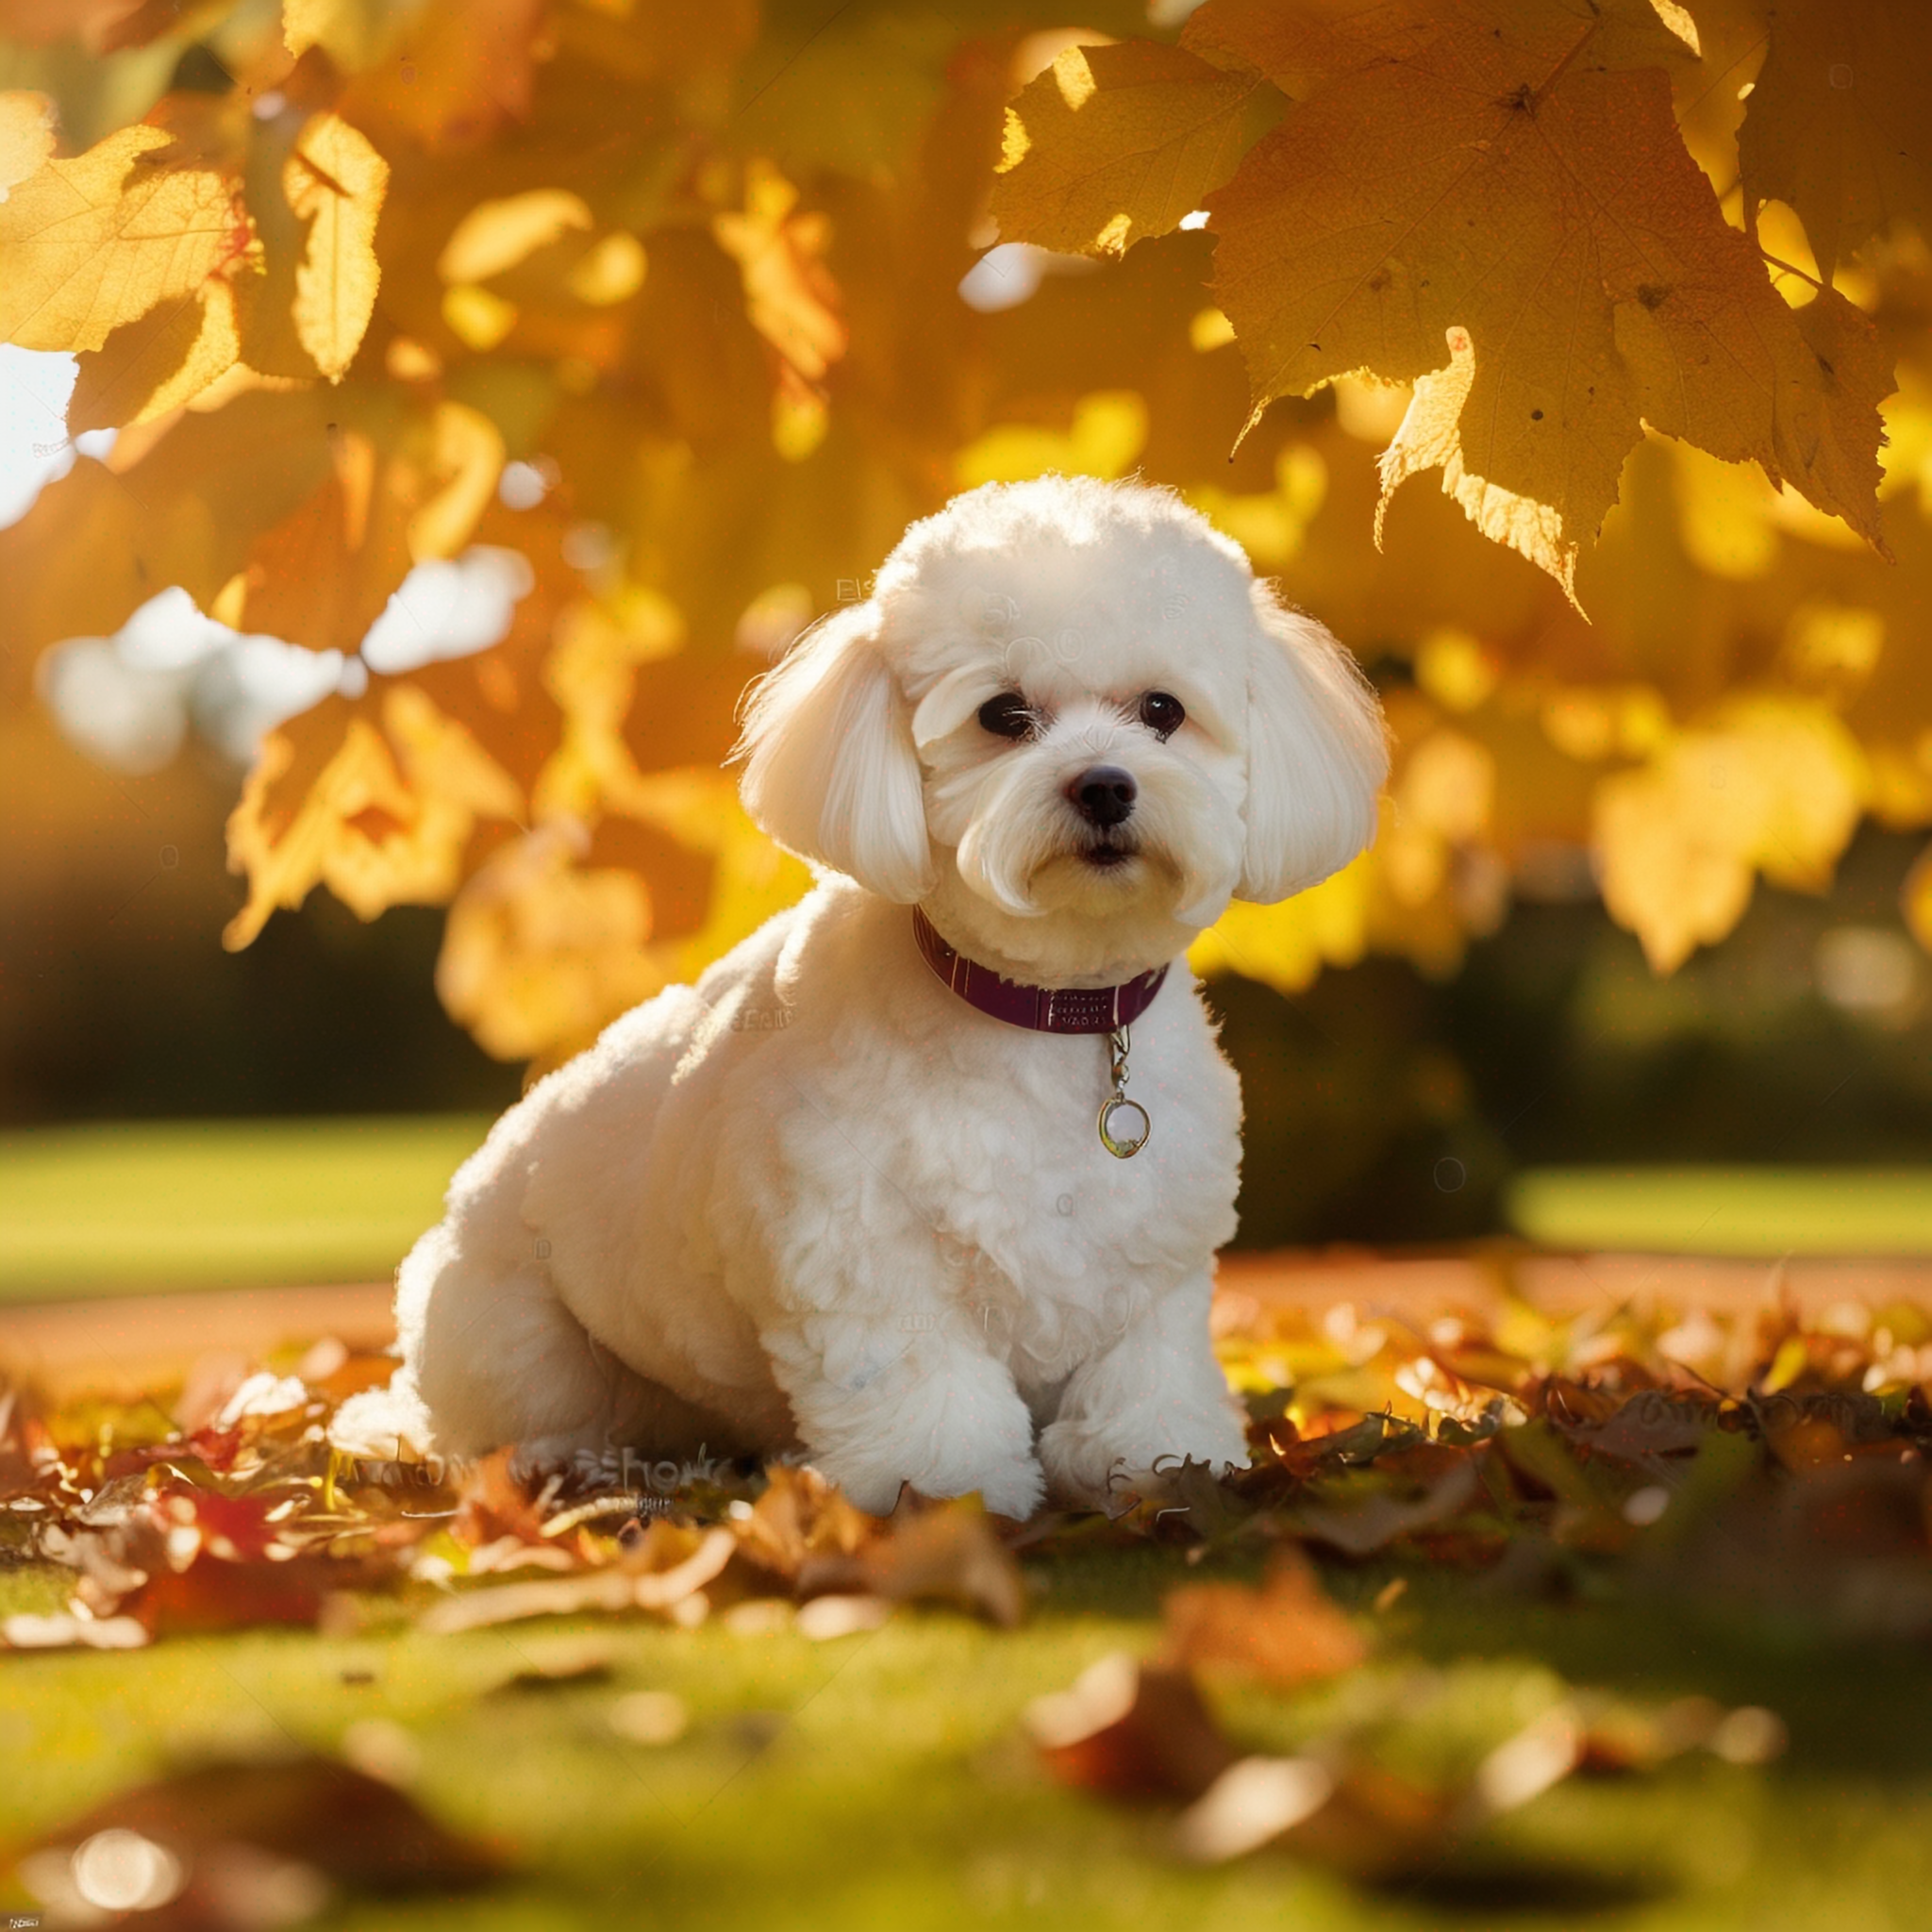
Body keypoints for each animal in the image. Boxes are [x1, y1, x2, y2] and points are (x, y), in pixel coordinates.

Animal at [336, 475, 1391, 1514]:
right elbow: (923, 1390)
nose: (1103, 785)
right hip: (519, 1339)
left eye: (1163, 709)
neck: (1049, 1016)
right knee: (510, 1423)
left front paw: (1159, 1460)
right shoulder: (864, 1261)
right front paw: (946, 1493)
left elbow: (1146, 1374)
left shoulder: (1150, 1265)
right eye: (1003, 715)